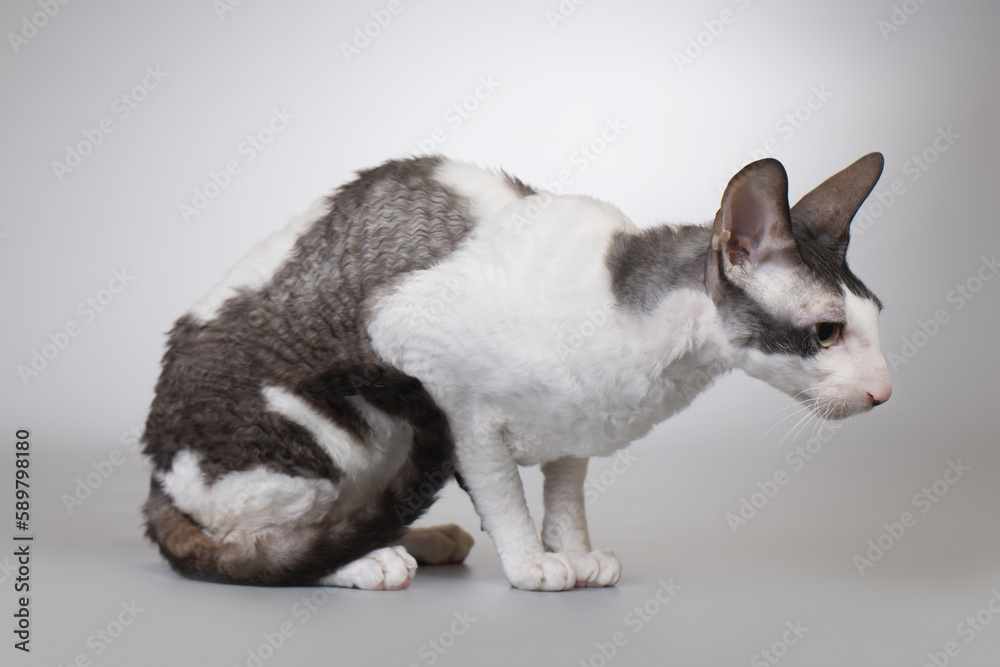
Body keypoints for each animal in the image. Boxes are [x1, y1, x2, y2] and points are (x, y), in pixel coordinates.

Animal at [141, 151, 892, 588]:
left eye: (879, 318)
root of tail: (155, 474)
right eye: (827, 333)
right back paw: (364, 559)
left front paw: (574, 550)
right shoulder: (443, 386)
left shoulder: (578, 428)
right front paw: (532, 560)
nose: (885, 392)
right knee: (256, 543)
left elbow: (565, 492)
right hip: (331, 434)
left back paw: (415, 536)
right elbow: (502, 491)